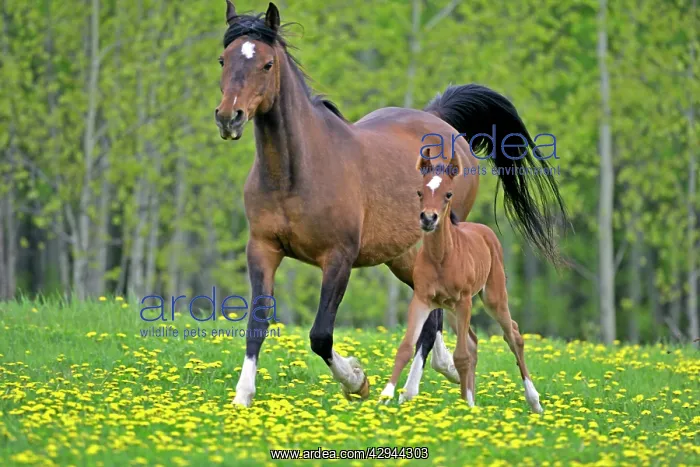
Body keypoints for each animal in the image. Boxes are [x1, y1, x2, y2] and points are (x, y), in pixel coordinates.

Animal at [380, 151, 543, 413]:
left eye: (448, 194)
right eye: (419, 192)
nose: (428, 218)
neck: (441, 257)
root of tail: (485, 231)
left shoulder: (465, 300)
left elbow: (461, 356)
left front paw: (467, 404)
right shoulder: (422, 299)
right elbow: (405, 346)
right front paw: (384, 397)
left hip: (492, 298)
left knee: (513, 336)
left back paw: (534, 401)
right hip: (451, 310)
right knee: (474, 342)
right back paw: (470, 398)